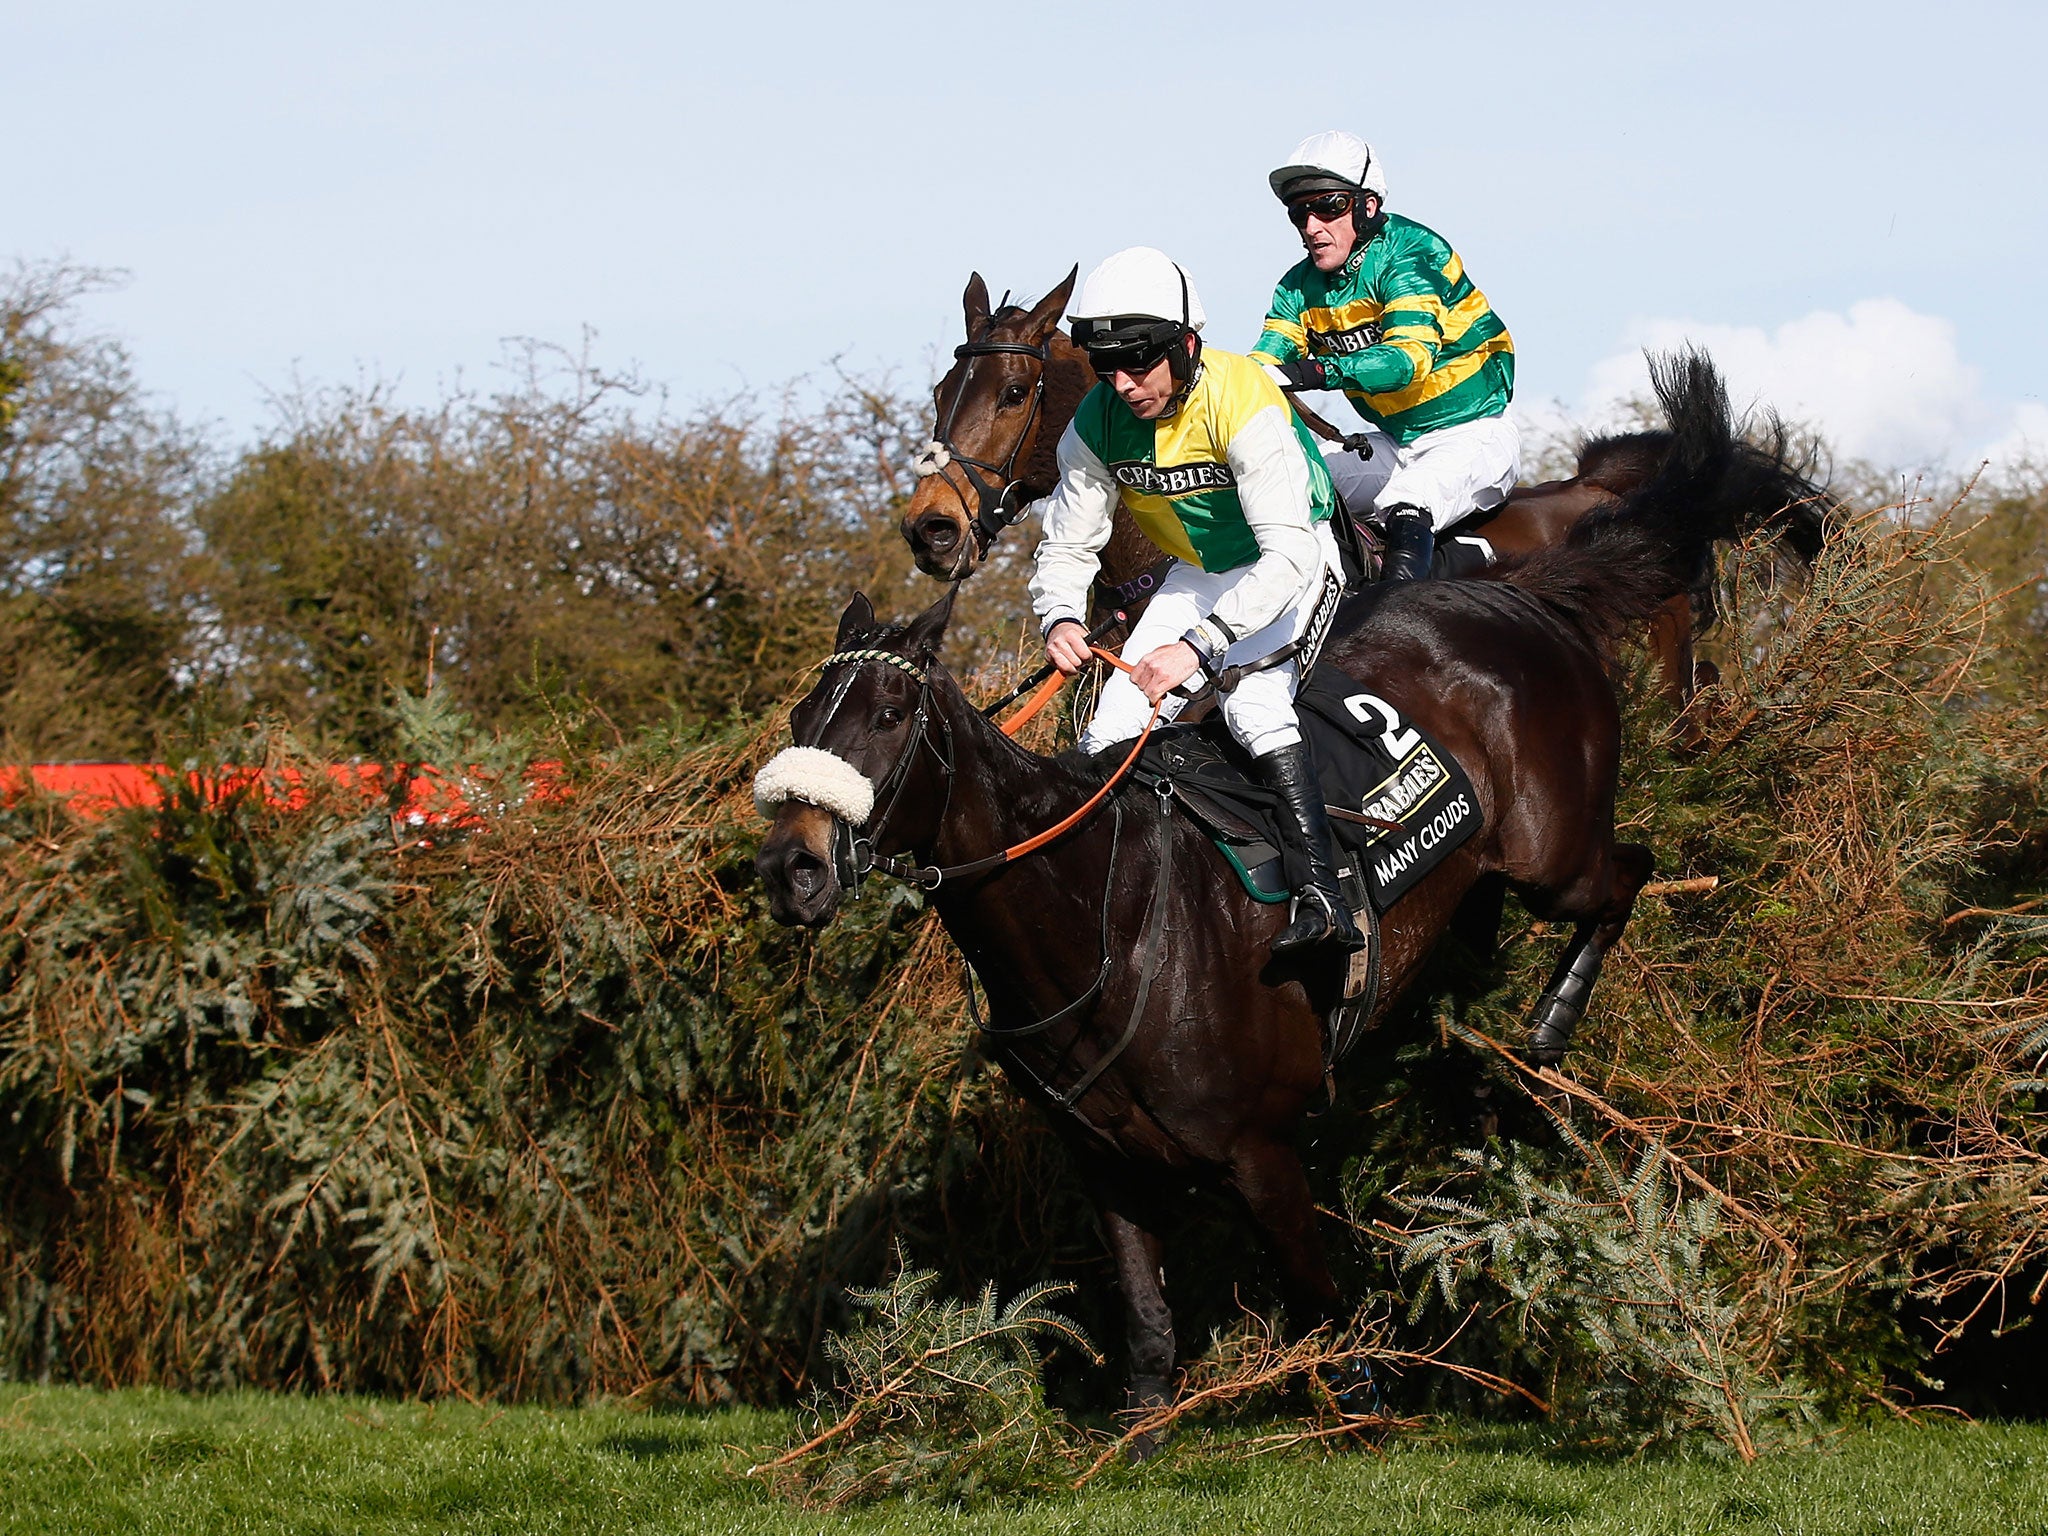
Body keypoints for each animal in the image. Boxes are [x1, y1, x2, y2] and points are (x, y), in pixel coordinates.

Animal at [770, 358, 1826, 1433]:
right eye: (800, 715)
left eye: (890, 715)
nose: (793, 868)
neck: (1101, 908)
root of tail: (1525, 593)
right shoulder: (1107, 1164)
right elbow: (1146, 1323)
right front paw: (1138, 1428)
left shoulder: (1261, 1152)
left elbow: (1321, 1307)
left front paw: (1360, 1401)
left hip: (1555, 854)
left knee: (1627, 875)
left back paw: (1548, 1025)